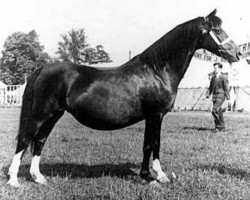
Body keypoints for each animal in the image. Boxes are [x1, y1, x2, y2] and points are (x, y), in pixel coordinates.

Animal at [6, 9, 239, 188]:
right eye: (218, 30)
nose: (236, 54)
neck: (157, 70)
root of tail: (43, 68)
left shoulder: (152, 117)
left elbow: (148, 145)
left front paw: (147, 175)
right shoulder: (155, 116)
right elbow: (153, 144)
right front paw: (157, 176)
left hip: (54, 115)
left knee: (39, 140)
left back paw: (38, 178)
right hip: (40, 114)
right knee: (25, 139)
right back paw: (13, 180)